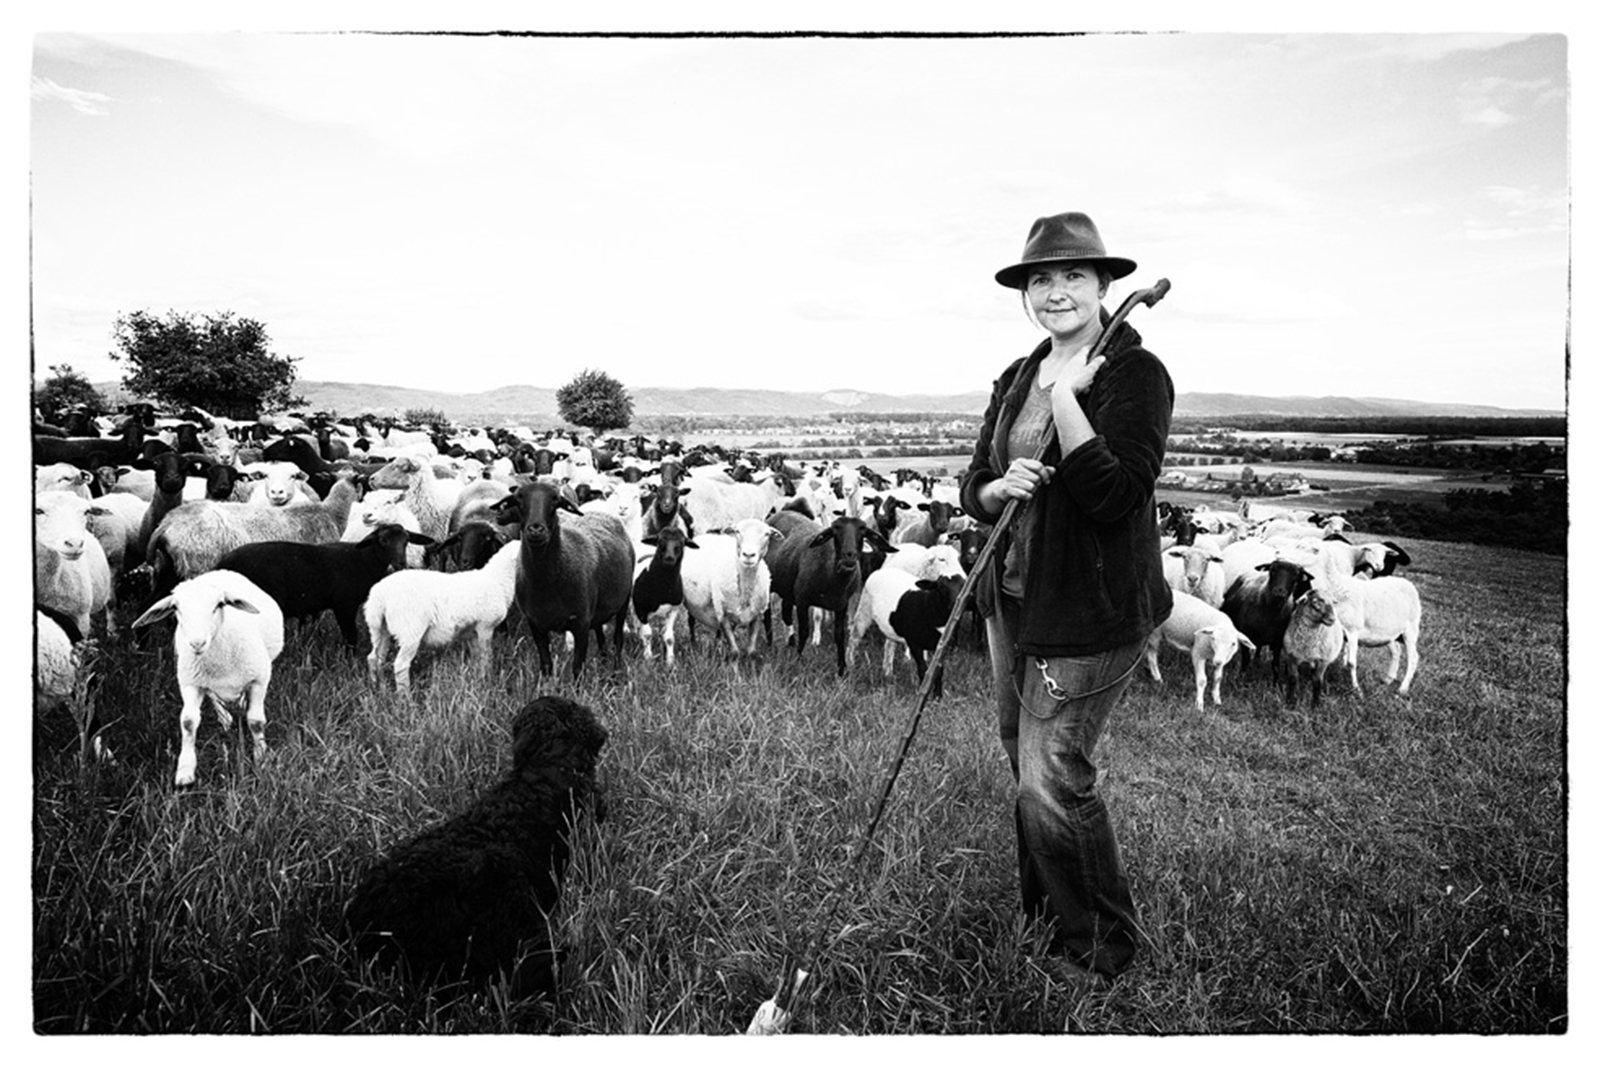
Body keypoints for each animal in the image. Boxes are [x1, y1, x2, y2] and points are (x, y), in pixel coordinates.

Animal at [131, 569, 285, 787]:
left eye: (219, 604)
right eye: (175, 607)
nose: (197, 643)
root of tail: (217, 571)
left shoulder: (259, 680)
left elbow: (256, 721)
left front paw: (261, 758)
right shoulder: (190, 683)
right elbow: (188, 722)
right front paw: (185, 770)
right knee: (213, 696)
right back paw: (225, 718)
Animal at [215, 523, 434, 648]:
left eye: (406, 541)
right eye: (382, 540)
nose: (401, 564)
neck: (364, 560)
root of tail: (223, 563)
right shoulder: (344, 604)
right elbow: (351, 635)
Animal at [364, 539, 522, 695]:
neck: (498, 579)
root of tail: (379, 596)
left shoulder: (471, 630)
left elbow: (476, 655)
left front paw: (475, 677)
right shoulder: (485, 626)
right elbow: (486, 656)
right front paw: (486, 680)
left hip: (379, 628)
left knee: (375, 658)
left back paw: (379, 689)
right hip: (410, 630)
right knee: (400, 665)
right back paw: (405, 698)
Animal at [495, 480, 636, 678]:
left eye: (555, 500)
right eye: (518, 498)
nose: (536, 529)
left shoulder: (581, 623)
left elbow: (577, 668)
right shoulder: (535, 623)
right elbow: (546, 665)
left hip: (623, 600)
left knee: (617, 640)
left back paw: (615, 674)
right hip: (597, 609)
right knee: (601, 636)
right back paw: (603, 666)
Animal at [679, 518, 782, 662]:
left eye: (767, 534)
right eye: (737, 531)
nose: (748, 555)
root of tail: (705, 535)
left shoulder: (757, 615)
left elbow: (751, 651)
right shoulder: (724, 615)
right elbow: (735, 652)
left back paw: (717, 644)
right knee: (691, 621)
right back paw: (694, 645)